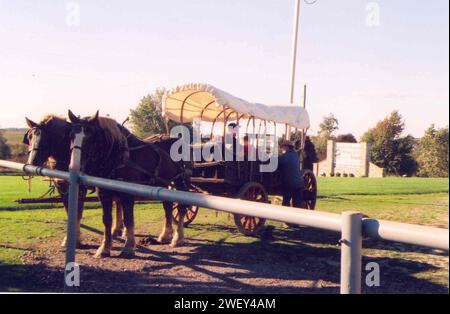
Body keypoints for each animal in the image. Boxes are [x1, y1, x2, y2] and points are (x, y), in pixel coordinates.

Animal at [23, 114, 126, 245]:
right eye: (29, 137)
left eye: (46, 138)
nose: (32, 163)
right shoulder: (62, 186)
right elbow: (69, 210)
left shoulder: (80, 187)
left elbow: (78, 212)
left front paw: (75, 238)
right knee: (118, 202)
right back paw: (116, 229)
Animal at [67, 110, 188, 258]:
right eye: (71, 135)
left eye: (91, 137)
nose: (75, 167)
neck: (118, 156)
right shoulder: (103, 193)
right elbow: (107, 219)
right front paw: (104, 248)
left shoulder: (128, 194)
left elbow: (128, 219)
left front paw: (129, 247)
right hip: (164, 183)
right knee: (168, 206)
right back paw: (165, 235)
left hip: (180, 180)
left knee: (181, 207)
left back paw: (178, 238)